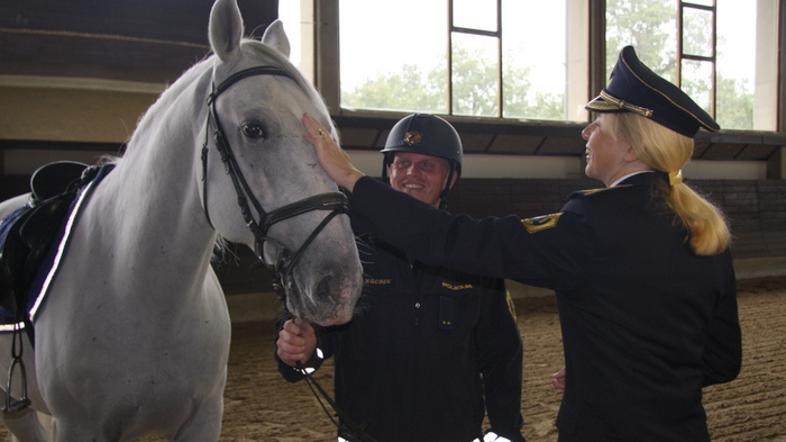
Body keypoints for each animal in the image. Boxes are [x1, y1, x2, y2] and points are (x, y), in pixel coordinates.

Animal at [0, 0, 364, 438]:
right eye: (253, 129)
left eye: (326, 131)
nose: (341, 286)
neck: (140, 289)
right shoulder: (79, 426)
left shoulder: (203, 418)